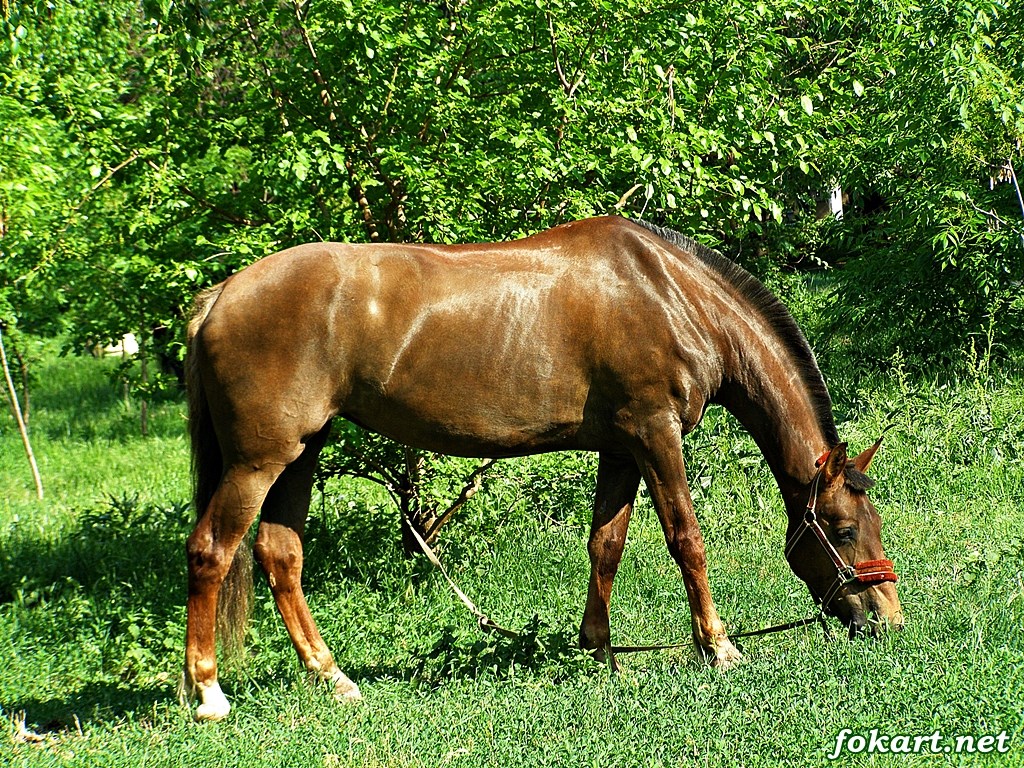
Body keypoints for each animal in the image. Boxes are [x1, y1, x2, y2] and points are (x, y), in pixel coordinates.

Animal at [183, 216, 903, 721]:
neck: (672, 293)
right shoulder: (655, 433)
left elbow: (606, 544)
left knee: (280, 555)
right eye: (841, 529)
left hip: (302, 453)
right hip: (259, 461)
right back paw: (210, 694)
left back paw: (333, 678)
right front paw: (719, 647)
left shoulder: (622, 447)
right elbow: (686, 540)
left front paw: (600, 651)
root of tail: (220, 295)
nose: (888, 622)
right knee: (211, 550)